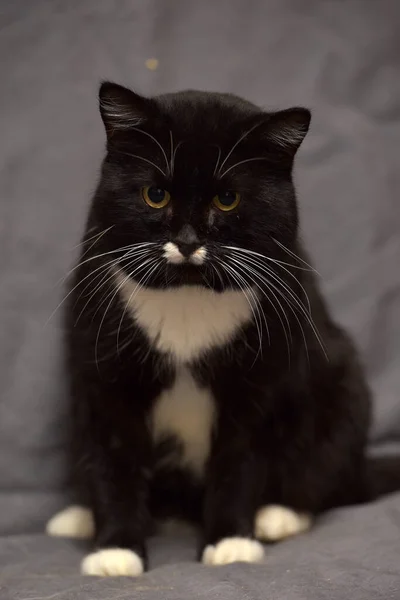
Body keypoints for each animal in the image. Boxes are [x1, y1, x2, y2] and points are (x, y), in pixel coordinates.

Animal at [47, 82, 400, 576]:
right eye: (155, 194)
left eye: (227, 199)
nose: (188, 241)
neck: (188, 296)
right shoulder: (102, 373)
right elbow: (112, 458)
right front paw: (115, 550)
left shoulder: (262, 376)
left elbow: (242, 459)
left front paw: (231, 541)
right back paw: (79, 518)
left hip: (343, 384)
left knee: (324, 472)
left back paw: (278, 516)